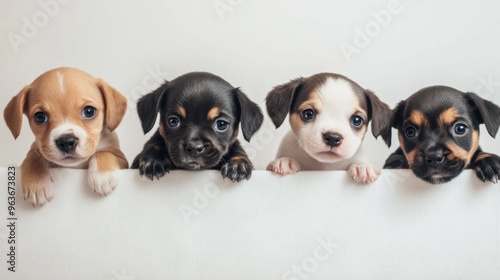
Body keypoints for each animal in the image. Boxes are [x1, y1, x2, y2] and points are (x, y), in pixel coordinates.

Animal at [4, 67, 129, 207]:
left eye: (89, 111)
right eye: (40, 117)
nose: (67, 141)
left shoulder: (121, 158)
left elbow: (104, 153)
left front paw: (102, 176)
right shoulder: (35, 150)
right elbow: (32, 159)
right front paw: (36, 184)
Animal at [129, 71, 264, 182]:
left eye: (221, 124)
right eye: (173, 121)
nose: (194, 147)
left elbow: (238, 151)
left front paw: (238, 164)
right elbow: (153, 144)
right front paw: (154, 160)